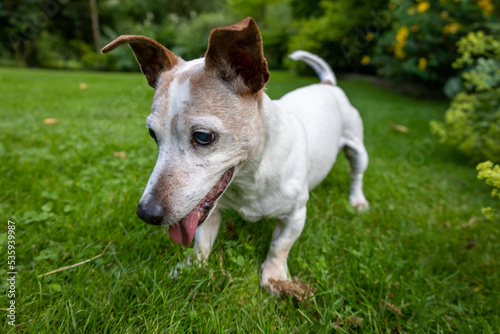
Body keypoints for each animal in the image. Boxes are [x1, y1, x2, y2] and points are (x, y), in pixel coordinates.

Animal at [101, 17, 368, 290]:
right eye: (153, 134)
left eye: (203, 136)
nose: (146, 213)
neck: (249, 179)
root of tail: (327, 84)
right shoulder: (210, 212)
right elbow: (201, 243)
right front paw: (193, 266)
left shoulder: (295, 216)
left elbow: (280, 246)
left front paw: (275, 276)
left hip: (358, 151)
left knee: (356, 175)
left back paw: (357, 200)